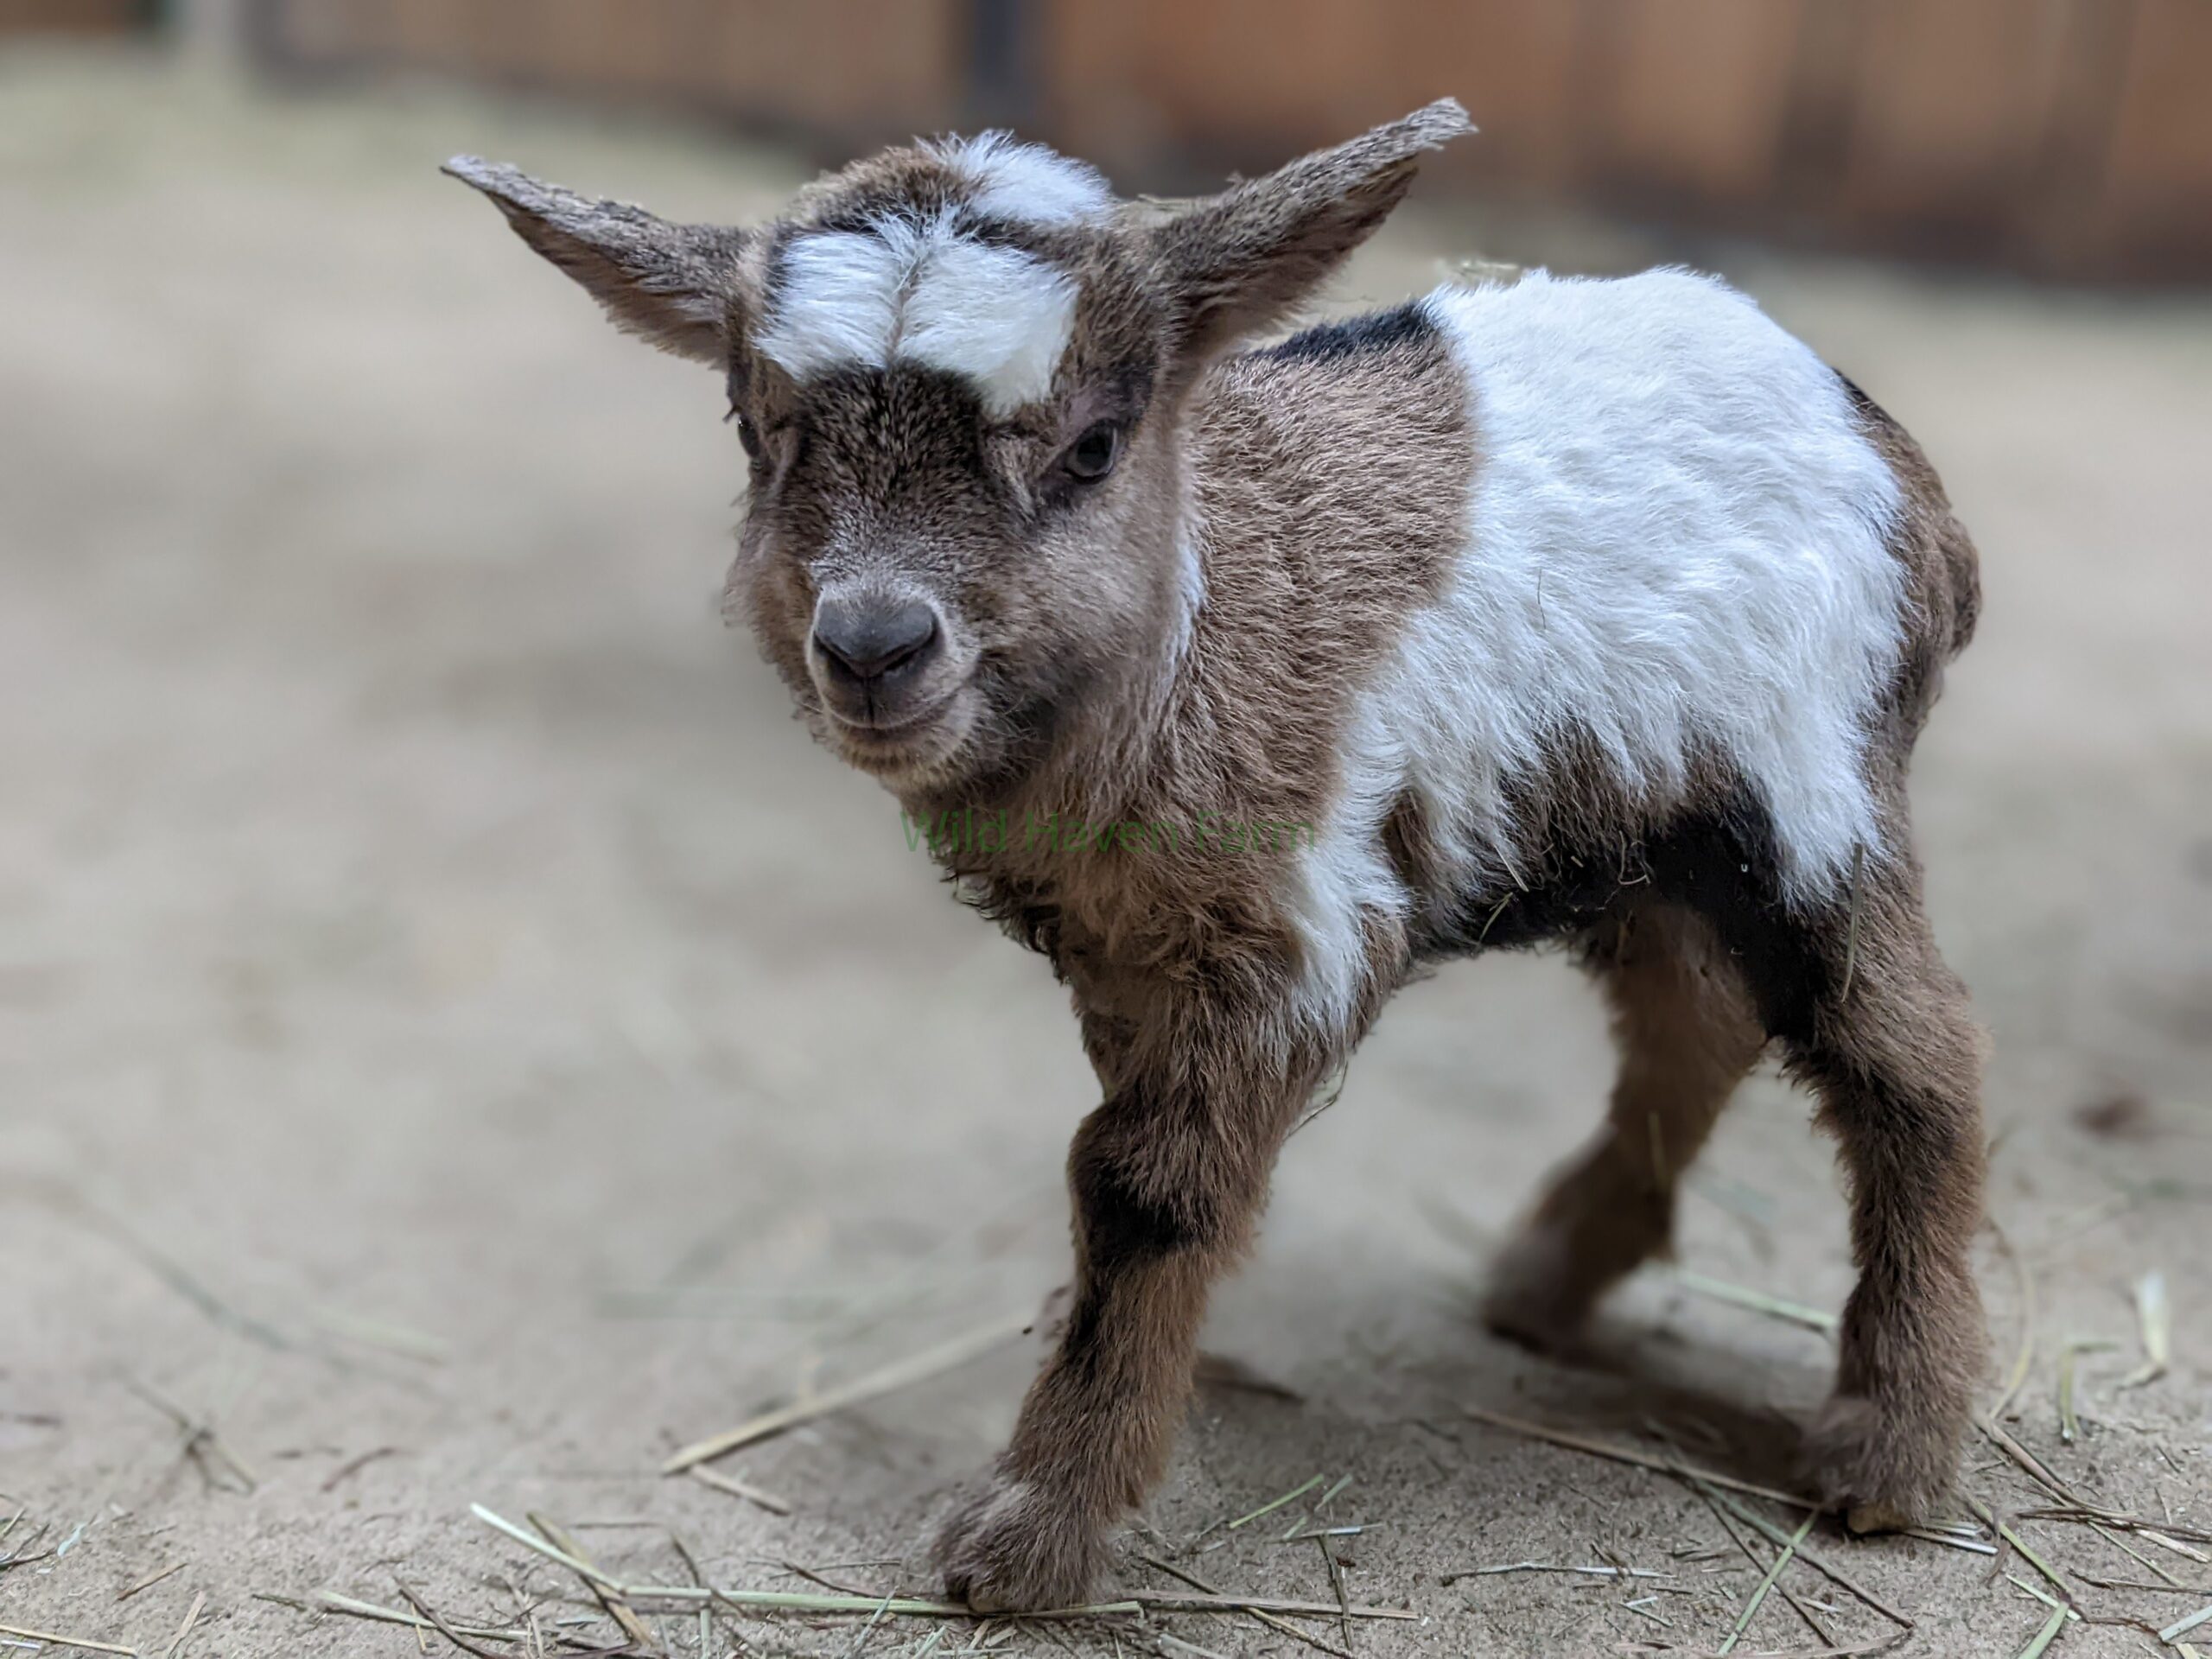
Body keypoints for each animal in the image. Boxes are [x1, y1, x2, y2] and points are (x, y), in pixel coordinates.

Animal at [447, 101, 1986, 1611]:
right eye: (757, 433)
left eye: (1092, 446)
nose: (874, 647)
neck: (1199, 622)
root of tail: (1900, 465)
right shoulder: (1122, 951)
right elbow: (1124, 1171)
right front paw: (1099, 1366)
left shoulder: (1293, 926)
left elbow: (1141, 1187)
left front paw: (1030, 1533)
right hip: (1656, 833)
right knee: (1696, 1020)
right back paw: (1550, 1277)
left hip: (1810, 790)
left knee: (1910, 1061)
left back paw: (1886, 1452)